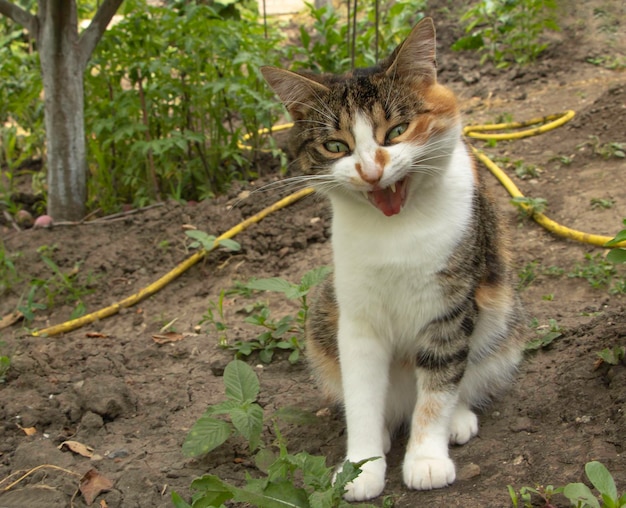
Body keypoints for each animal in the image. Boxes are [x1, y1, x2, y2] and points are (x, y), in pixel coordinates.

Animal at [260, 17, 524, 502]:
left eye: (397, 131)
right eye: (335, 146)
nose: (371, 171)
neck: (395, 232)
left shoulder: (450, 307)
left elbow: (437, 390)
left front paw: (426, 459)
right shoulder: (357, 318)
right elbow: (362, 394)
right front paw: (360, 467)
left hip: (504, 314)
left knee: (462, 375)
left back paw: (457, 418)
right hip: (322, 312)